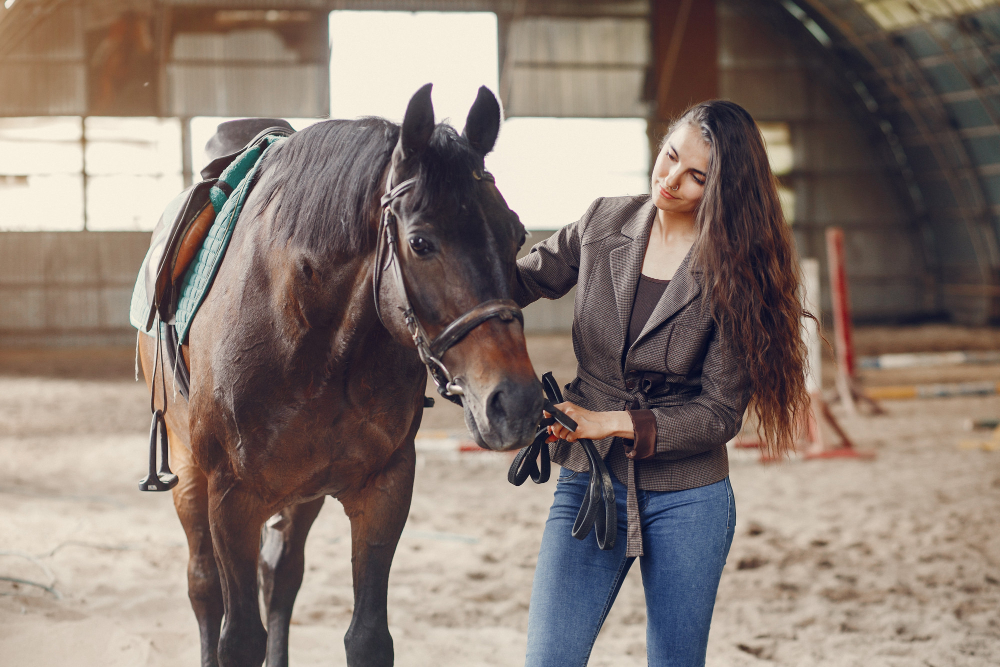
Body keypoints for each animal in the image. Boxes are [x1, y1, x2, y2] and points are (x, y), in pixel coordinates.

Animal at [137, 83, 544, 667]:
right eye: (420, 242)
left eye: (515, 235)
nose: (516, 404)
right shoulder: (230, 499)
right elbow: (238, 638)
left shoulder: (385, 489)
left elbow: (367, 636)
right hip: (190, 474)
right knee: (204, 588)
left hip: (300, 493)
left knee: (280, 578)